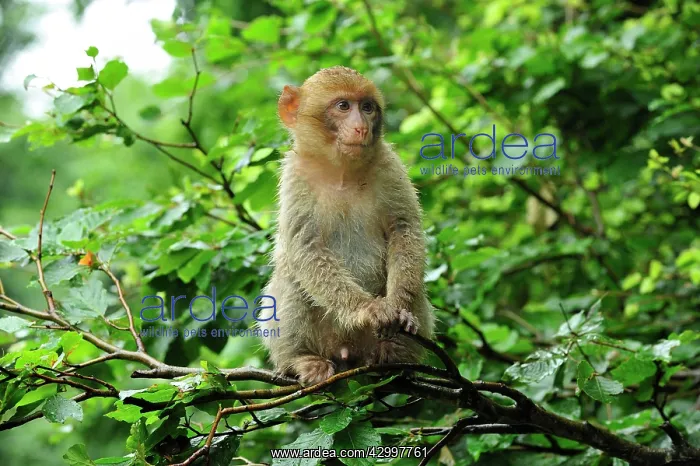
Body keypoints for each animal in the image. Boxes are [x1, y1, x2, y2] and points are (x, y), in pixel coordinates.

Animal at [257, 66, 434, 385]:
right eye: (343, 106)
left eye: (367, 107)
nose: (361, 127)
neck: (341, 171)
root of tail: (347, 354)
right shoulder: (295, 177)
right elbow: (306, 248)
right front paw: (369, 309)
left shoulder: (389, 164)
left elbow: (403, 229)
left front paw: (399, 308)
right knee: (291, 278)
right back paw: (302, 360)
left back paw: (396, 353)